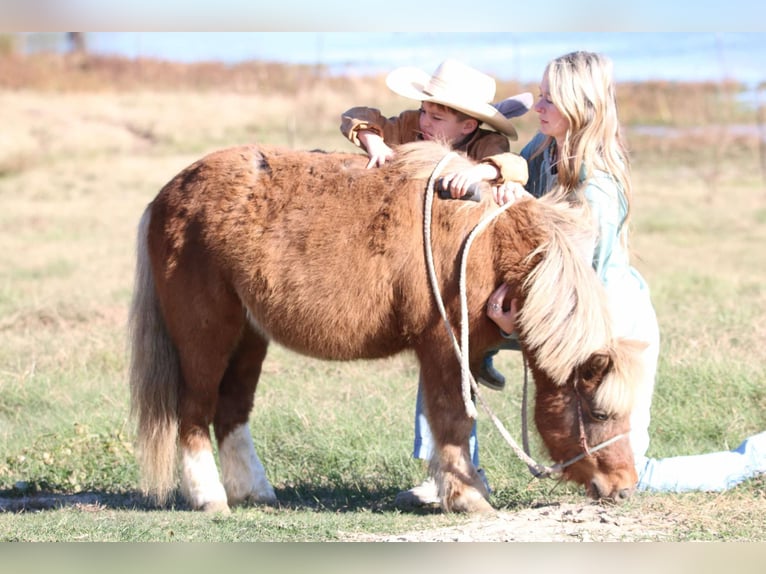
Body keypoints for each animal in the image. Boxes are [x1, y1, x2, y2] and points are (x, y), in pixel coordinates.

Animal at [130, 142, 648, 516]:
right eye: (599, 412)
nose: (624, 487)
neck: (486, 246)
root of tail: (167, 195)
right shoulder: (444, 347)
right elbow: (452, 419)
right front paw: (467, 497)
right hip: (205, 336)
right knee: (194, 412)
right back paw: (210, 498)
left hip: (248, 336)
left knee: (232, 410)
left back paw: (254, 491)